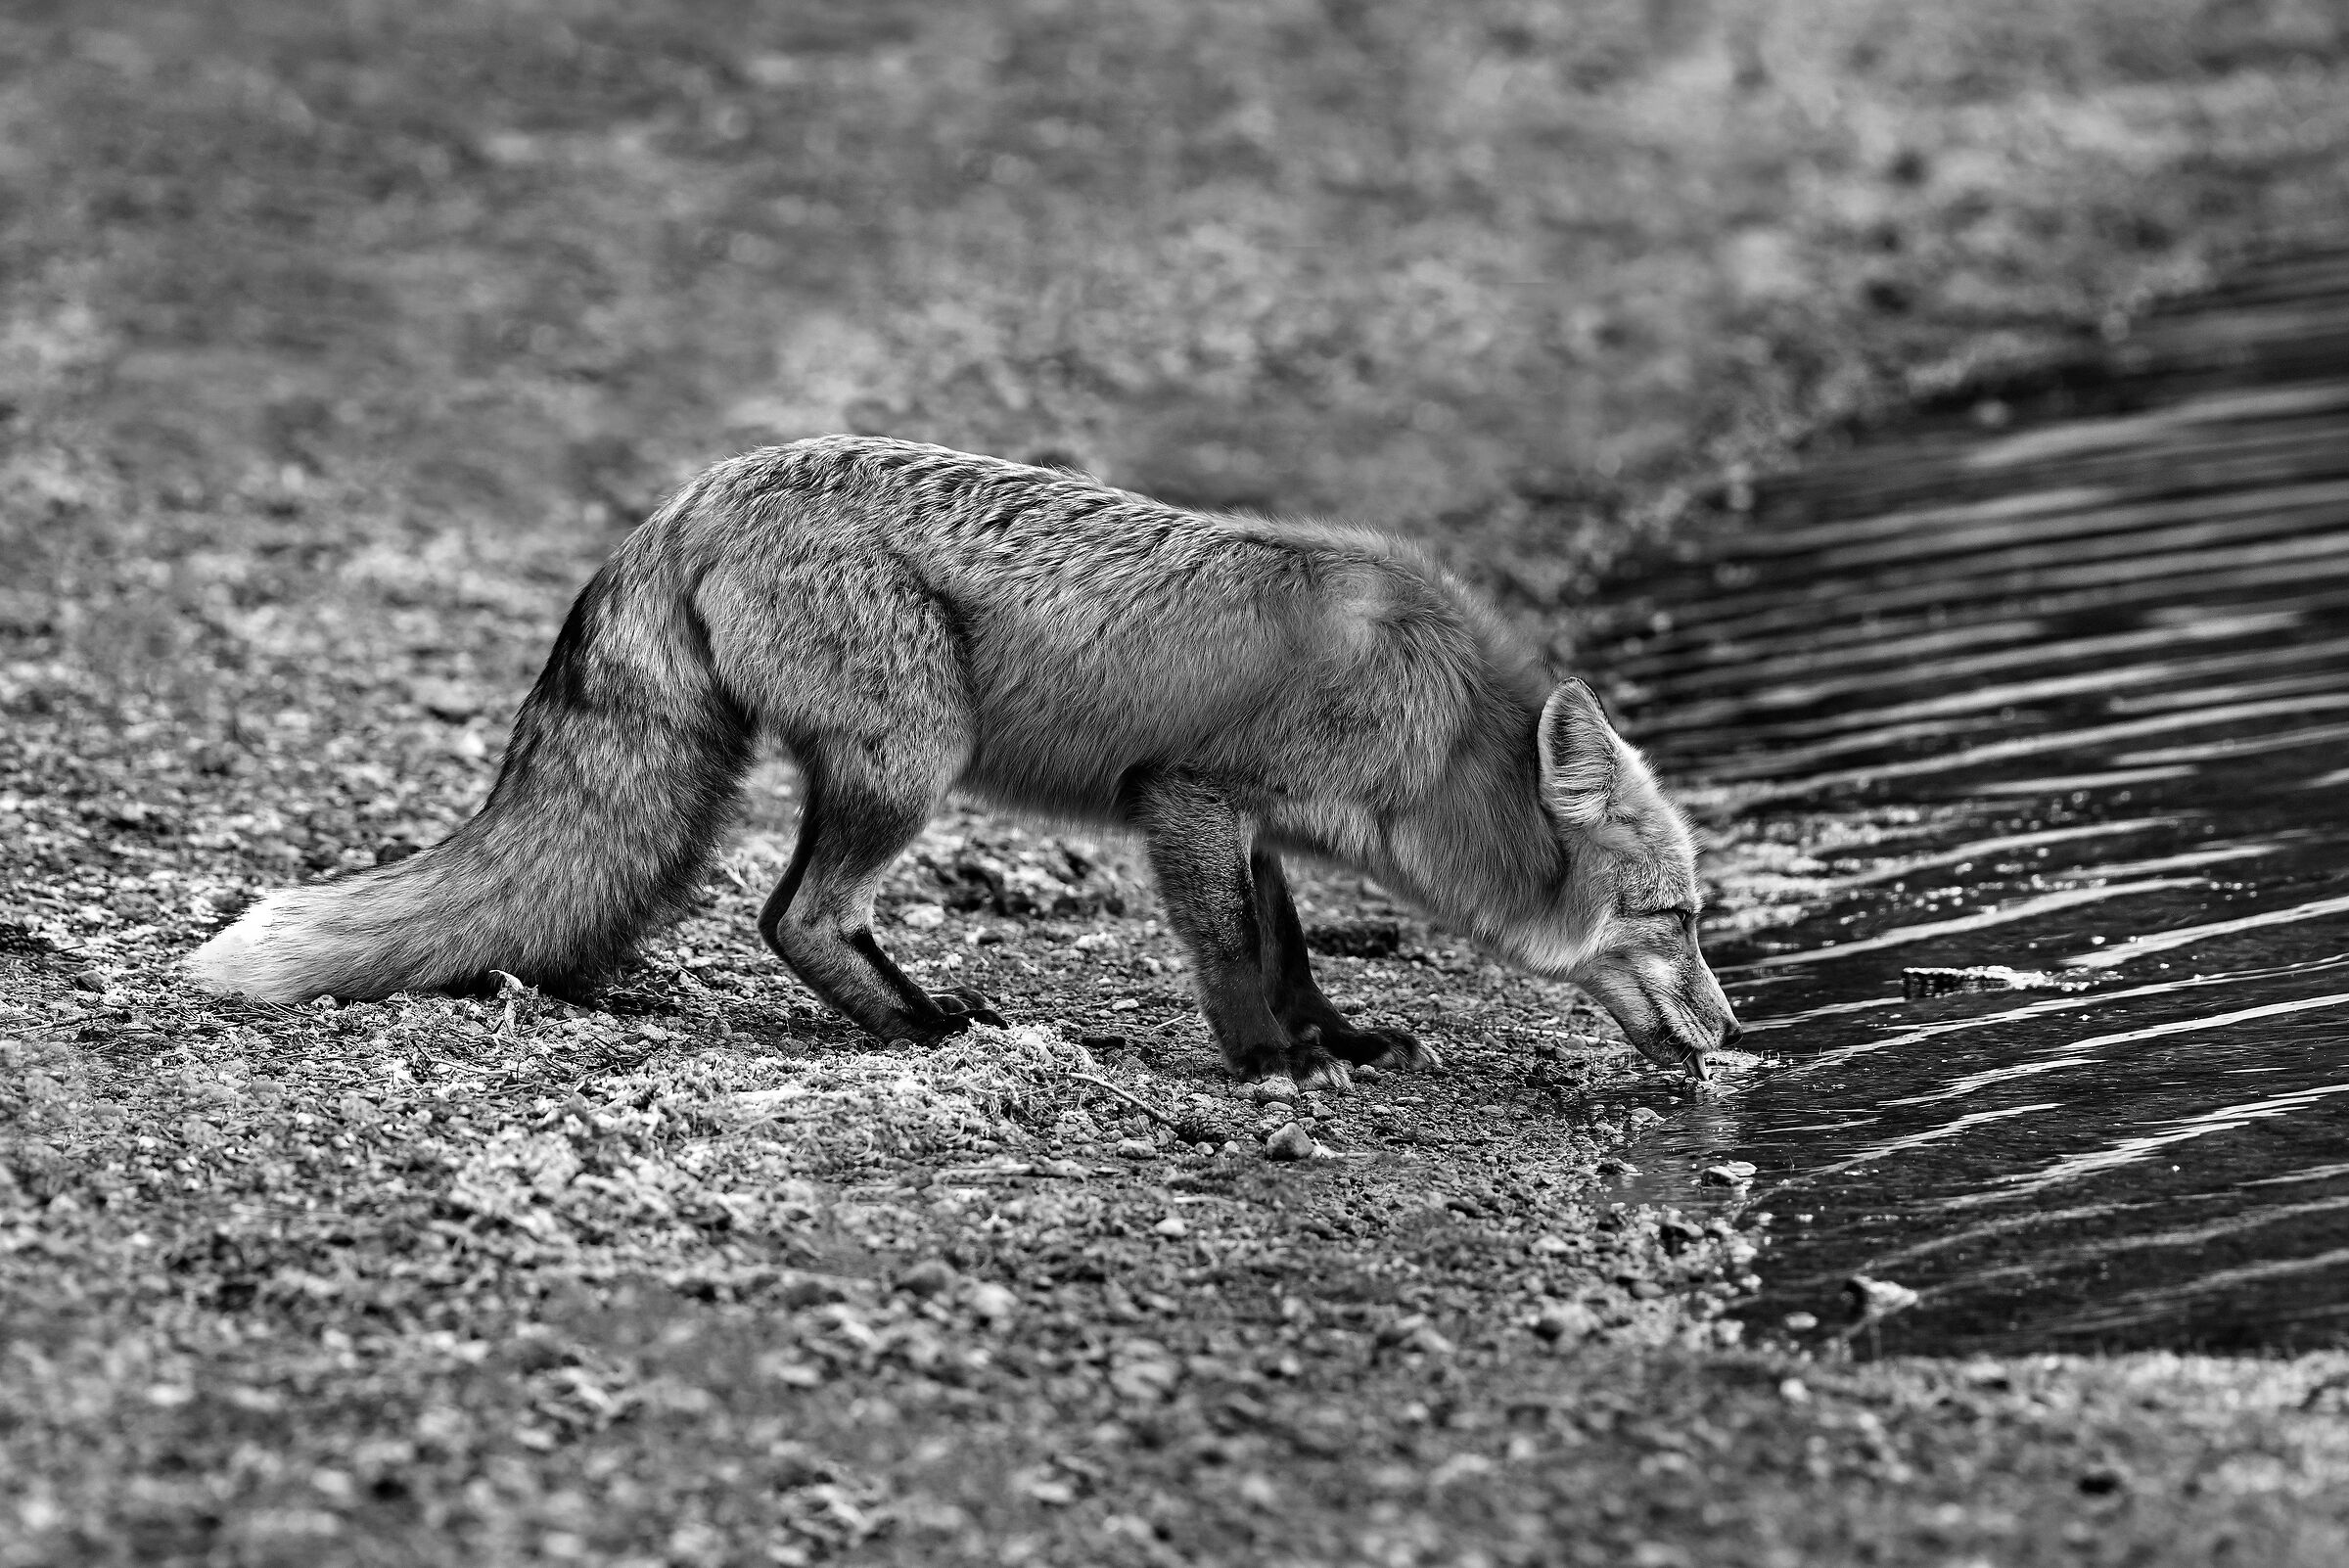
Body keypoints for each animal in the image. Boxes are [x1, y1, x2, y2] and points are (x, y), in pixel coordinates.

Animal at [186, 436, 1740, 1086]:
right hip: (916, 756)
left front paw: (1334, 1039)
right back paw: (926, 1027)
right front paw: (1265, 1068)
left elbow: (1294, 945)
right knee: (794, 915)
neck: (1438, 717)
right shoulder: (1188, 796)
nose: (1734, 1033)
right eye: (1676, 917)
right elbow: (1233, 955)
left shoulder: (1251, 823)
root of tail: (693, 494)